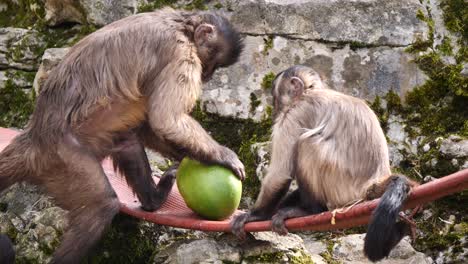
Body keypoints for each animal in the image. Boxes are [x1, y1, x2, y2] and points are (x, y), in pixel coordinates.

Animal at [0, 7, 247, 262]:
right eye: (213, 63)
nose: (208, 75)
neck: (182, 25)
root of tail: (34, 136)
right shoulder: (180, 52)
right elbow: (166, 120)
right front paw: (223, 156)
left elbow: (150, 126)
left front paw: (189, 157)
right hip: (61, 156)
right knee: (101, 206)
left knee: (128, 142)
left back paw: (152, 201)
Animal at [232, 64, 418, 262]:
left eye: (275, 95)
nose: (274, 107)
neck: (311, 92)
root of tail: (373, 183)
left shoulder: (294, 112)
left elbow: (280, 173)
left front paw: (256, 216)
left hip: (343, 189)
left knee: (306, 143)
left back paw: (311, 211)